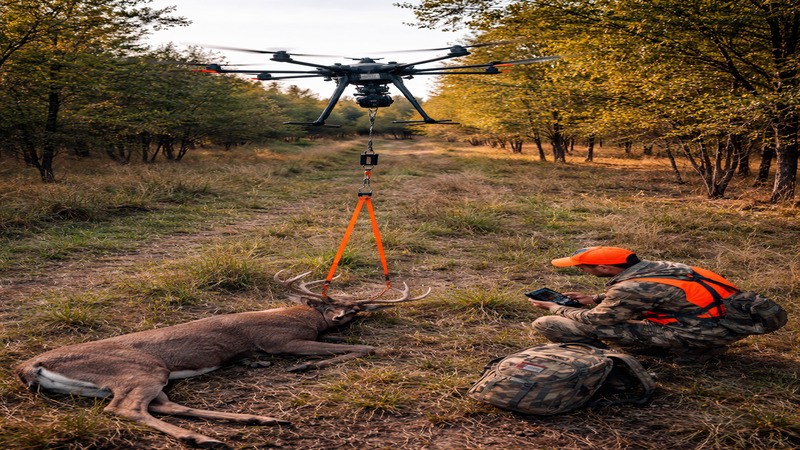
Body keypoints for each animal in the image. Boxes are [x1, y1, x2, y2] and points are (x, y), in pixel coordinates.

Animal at [15, 271, 430, 448]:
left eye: (357, 309)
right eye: (326, 303)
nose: (342, 315)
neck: (302, 318)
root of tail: (25, 367)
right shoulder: (277, 340)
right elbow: (364, 349)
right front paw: (304, 365)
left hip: (141, 378)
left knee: (163, 406)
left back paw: (264, 419)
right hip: (141, 369)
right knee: (125, 409)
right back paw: (203, 439)